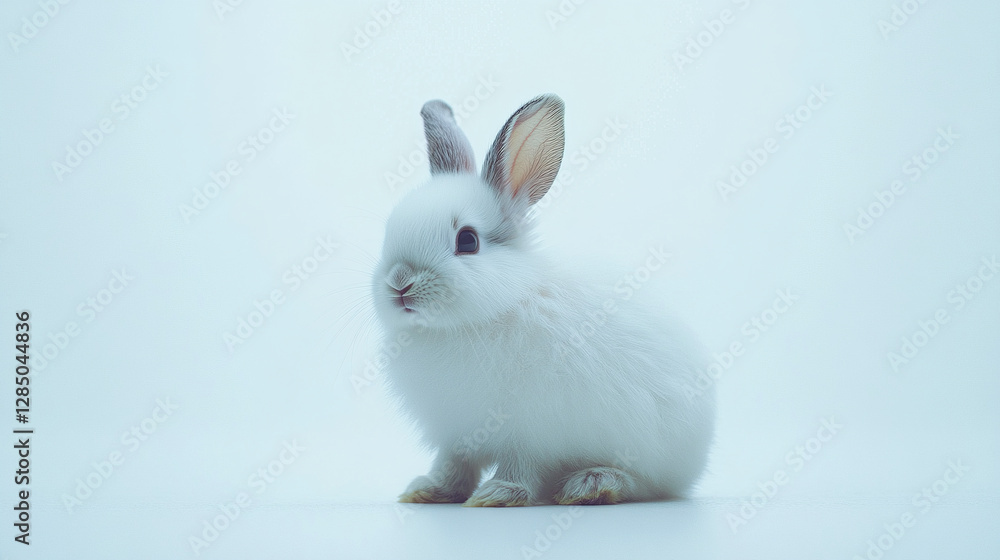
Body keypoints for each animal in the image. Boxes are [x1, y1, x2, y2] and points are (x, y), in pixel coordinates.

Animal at [370, 94, 715, 506]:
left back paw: (593, 485)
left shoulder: (532, 432)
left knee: (644, 485)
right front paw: (428, 490)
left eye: (467, 240)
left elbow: (522, 465)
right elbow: (453, 464)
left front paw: (499, 495)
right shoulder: (456, 434)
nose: (399, 283)